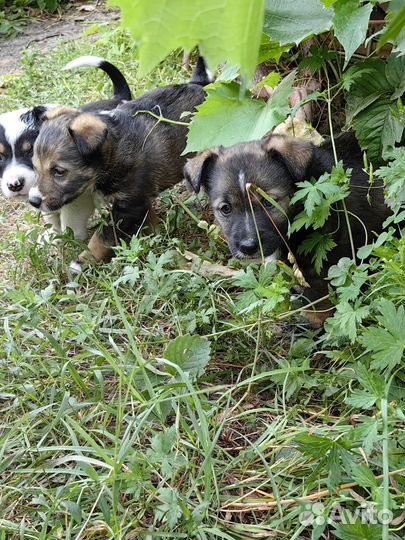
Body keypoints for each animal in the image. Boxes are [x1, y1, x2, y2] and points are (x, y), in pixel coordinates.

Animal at [28, 57, 211, 272]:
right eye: (34, 167)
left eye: (59, 171)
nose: (33, 201)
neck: (114, 151)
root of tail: (200, 83)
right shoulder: (139, 200)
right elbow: (148, 221)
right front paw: (152, 238)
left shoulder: (127, 206)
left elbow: (102, 238)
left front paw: (81, 262)